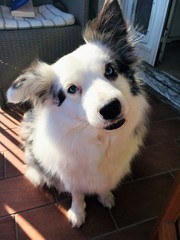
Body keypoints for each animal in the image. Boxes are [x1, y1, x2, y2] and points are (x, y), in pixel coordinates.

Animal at [6, 0, 150, 228]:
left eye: (110, 70)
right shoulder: (70, 175)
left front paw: (105, 196)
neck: (99, 137)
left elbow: (103, 185)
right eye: (72, 89)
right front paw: (78, 213)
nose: (111, 108)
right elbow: (77, 194)